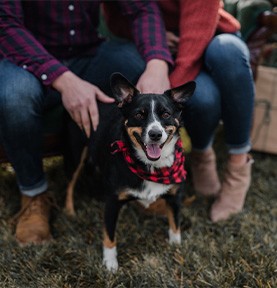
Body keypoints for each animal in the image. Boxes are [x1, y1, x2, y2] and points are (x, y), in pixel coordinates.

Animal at [64, 73, 194, 272]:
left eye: (166, 114)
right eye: (139, 114)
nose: (155, 134)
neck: (150, 166)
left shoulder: (174, 196)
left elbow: (175, 225)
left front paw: (176, 248)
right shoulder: (112, 201)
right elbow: (109, 235)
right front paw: (110, 264)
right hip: (76, 155)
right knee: (70, 183)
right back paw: (70, 211)